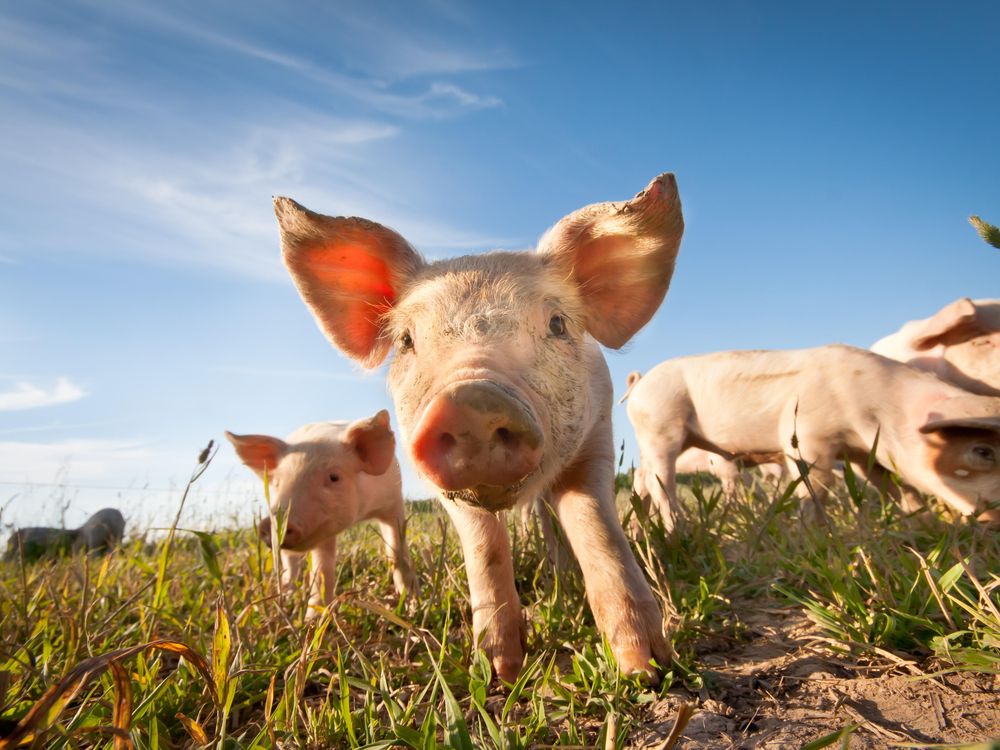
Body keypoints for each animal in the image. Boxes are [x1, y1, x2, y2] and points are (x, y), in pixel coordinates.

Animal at [226, 412, 414, 616]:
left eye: (334, 477)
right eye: (277, 482)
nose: (271, 523)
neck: (361, 514)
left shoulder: (393, 502)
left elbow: (397, 551)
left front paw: (412, 604)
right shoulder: (323, 530)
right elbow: (322, 568)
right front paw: (314, 618)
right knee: (290, 564)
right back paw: (287, 595)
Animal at [272, 173, 680, 684]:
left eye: (557, 323)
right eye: (406, 340)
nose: (470, 401)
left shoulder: (597, 439)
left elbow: (597, 527)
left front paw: (646, 668)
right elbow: (484, 548)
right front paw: (499, 669)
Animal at [624, 344, 1000, 532]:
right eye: (983, 451)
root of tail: (641, 382)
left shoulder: (864, 454)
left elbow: (896, 486)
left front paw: (923, 524)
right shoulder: (806, 436)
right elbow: (816, 485)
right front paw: (810, 532)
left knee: (642, 479)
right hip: (660, 426)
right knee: (661, 480)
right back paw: (675, 530)